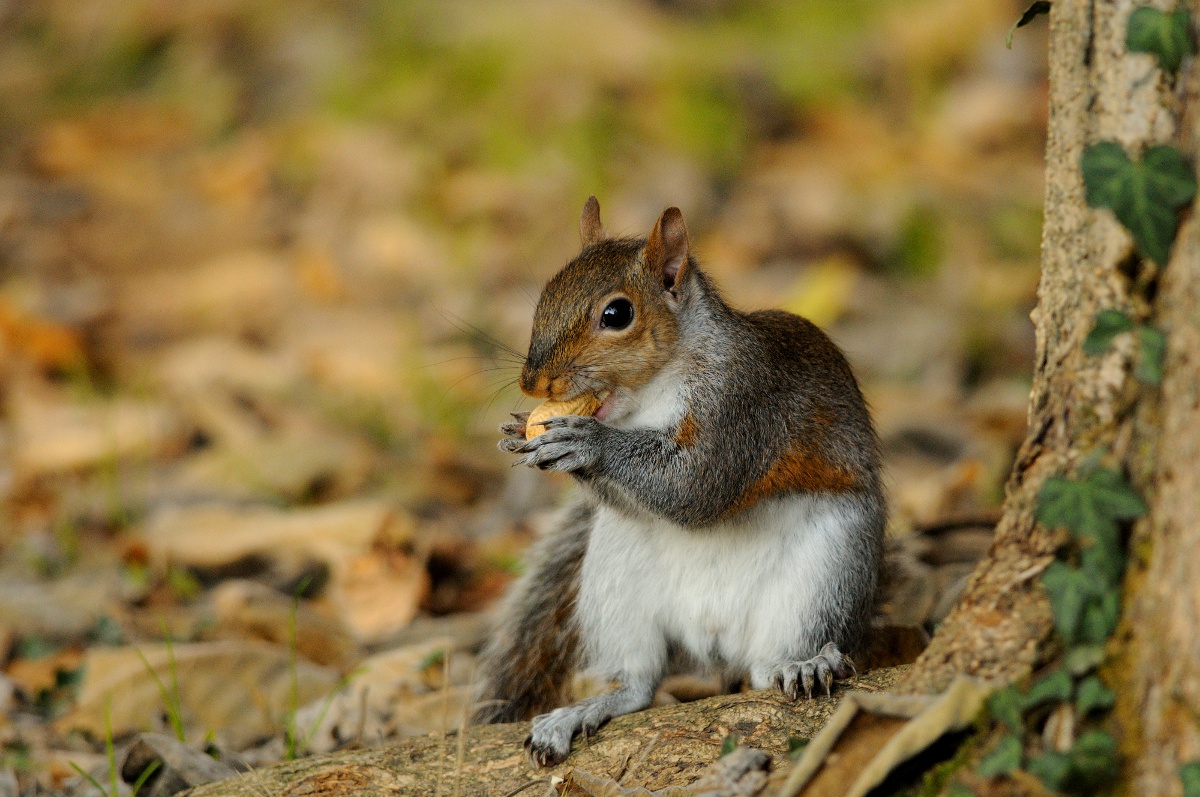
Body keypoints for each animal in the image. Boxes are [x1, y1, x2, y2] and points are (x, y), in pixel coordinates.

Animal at [473, 197, 885, 767]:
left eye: (617, 314)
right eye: (545, 296)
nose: (533, 382)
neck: (652, 391)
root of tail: (714, 639)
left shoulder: (743, 404)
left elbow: (696, 486)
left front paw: (588, 442)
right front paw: (519, 432)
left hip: (825, 572)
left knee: (774, 664)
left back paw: (805, 665)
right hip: (615, 581)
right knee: (639, 683)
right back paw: (579, 713)